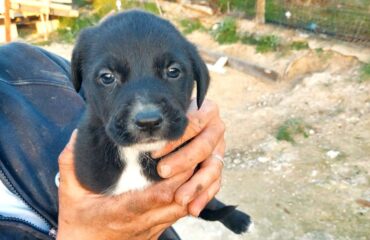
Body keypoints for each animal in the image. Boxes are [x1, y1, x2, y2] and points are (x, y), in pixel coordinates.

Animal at [71, 9, 251, 238]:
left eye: (173, 71)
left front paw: (235, 217)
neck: (137, 155)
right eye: (107, 77)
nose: (148, 121)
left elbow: (209, 200)